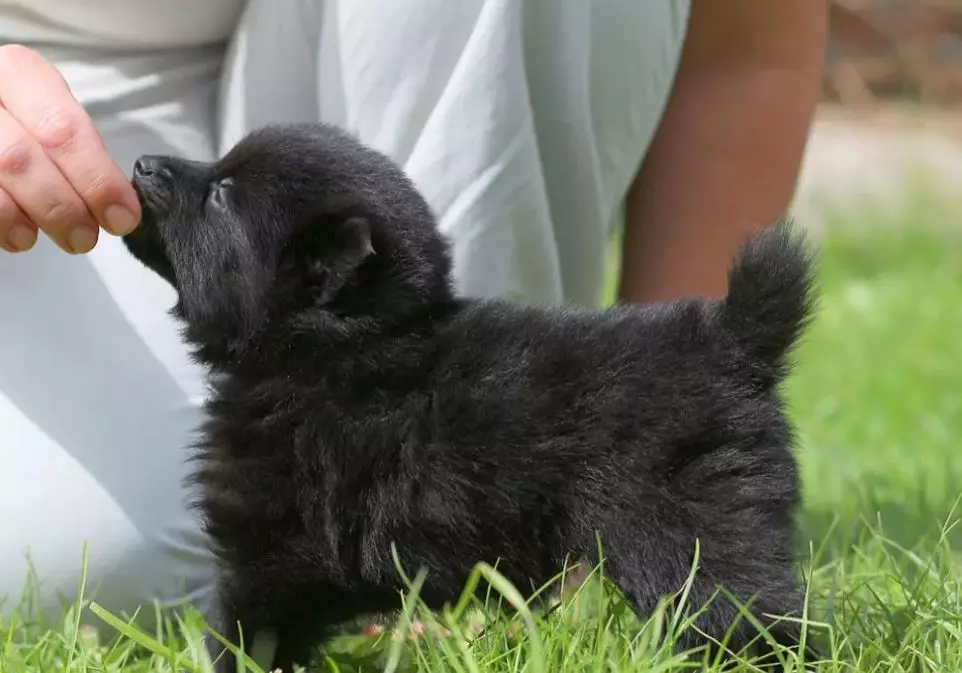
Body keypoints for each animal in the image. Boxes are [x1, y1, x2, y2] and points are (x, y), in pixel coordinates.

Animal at [124, 123, 812, 668]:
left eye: (221, 195)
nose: (142, 162)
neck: (333, 350)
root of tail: (732, 336)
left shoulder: (271, 548)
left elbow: (248, 637)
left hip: (688, 530)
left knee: (747, 617)